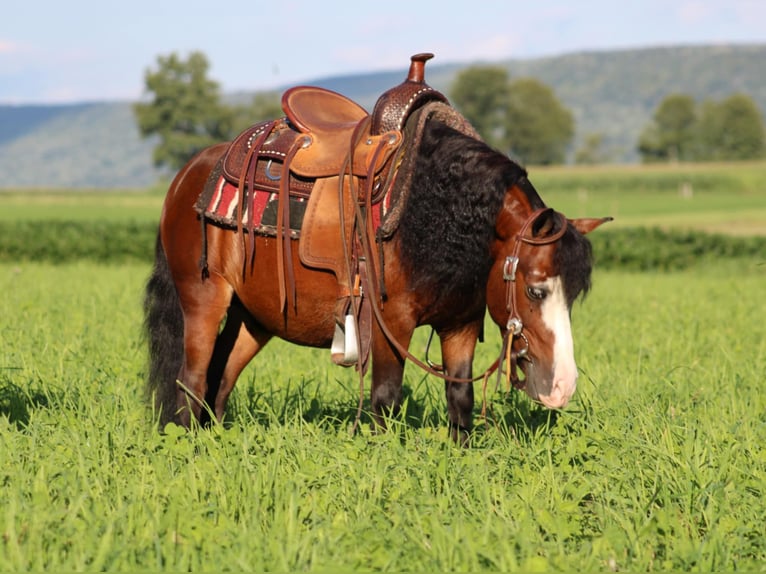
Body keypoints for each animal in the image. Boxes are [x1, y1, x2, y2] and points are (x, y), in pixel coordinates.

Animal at [144, 71, 612, 446]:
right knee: (192, 379)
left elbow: (460, 398)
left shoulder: (460, 323)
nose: (562, 386)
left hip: (254, 315)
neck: (433, 213)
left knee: (221, 378)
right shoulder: (391, 322)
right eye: (535, 290)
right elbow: (385, 397)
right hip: (203, 300)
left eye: (573, 296)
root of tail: (187, 175)